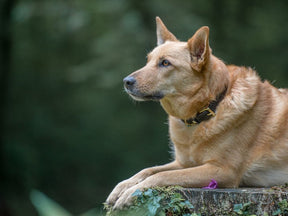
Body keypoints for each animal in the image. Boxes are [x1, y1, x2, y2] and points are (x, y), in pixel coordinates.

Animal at [106, 16, 288, 209]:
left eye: (165, 63)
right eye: (147, 60)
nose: (126, 81)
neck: (210, 108)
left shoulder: (223, 170)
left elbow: (162, 175)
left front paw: (132, 192)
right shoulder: (183, 163)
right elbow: (149, 169)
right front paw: (122, 187)